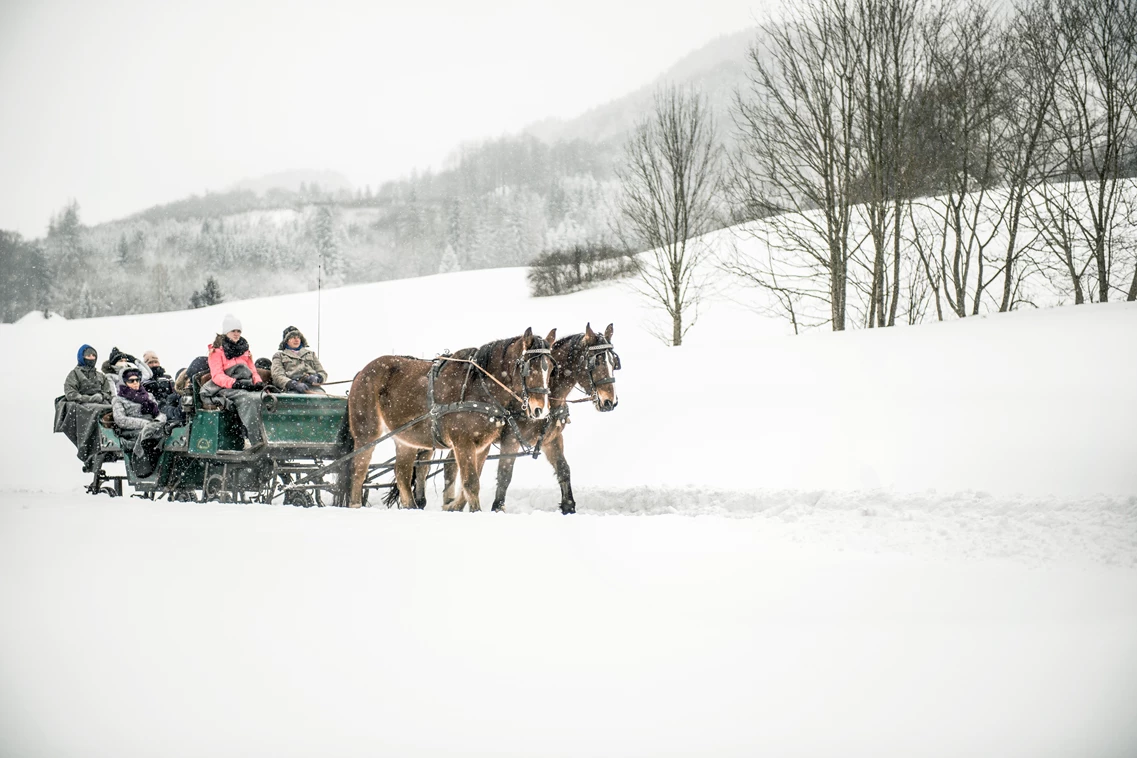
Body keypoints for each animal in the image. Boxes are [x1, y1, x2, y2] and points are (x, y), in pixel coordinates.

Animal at [347, 329, 557, 513]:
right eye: (528, 367)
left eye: (551, 368)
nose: (541, 409)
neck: (478, 388)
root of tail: (361, 372)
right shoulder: (462, 442)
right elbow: (471, 482)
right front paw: (473, 510)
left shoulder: (482, 446)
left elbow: (468, 483)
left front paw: (453, 506)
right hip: (367, 433)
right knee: (359, 470)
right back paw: (355, 505)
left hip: (405, 438)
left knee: (402, 474)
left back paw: (412, 507)